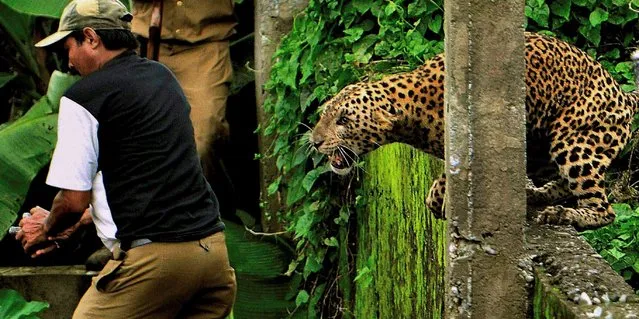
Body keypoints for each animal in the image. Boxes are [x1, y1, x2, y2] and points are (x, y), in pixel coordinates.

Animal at [308, 32, 639, 231]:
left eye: (343, 120)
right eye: (325, 113)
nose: (315, 141)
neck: (411, 111)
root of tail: (625, 95)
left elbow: (450, 175)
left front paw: (439, 197)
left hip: (573, 143)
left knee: (603, 209)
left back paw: (565, 214)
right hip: (542, 148)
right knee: (562, 184)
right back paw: (535, 195)